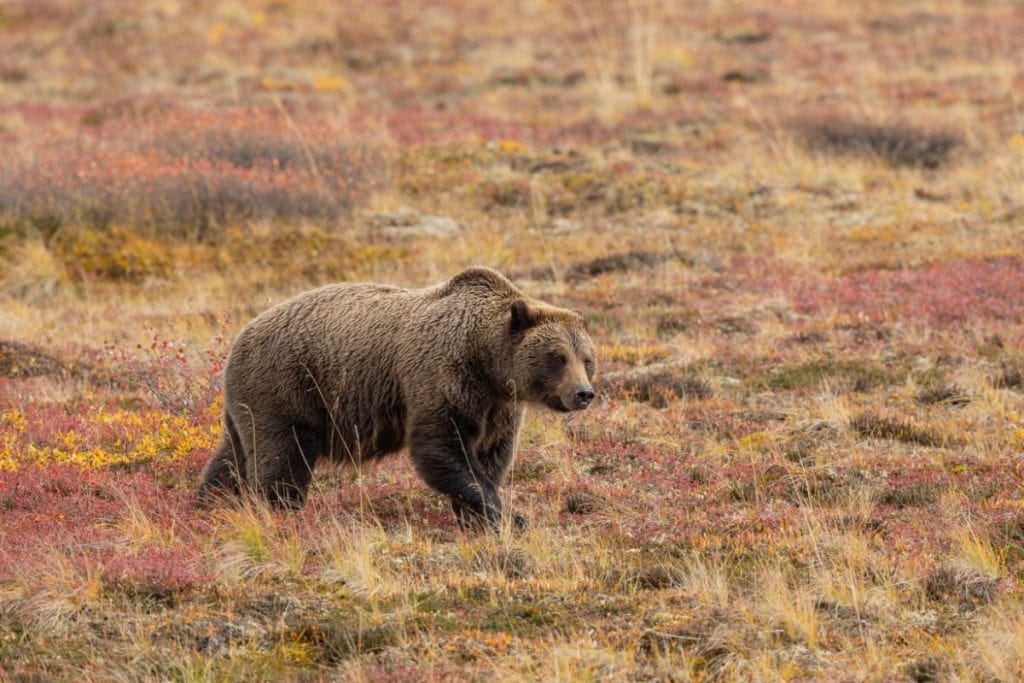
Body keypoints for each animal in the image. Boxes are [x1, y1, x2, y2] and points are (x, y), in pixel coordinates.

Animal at [198, 266, 597, 529]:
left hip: (248, 404)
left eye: (587, 358)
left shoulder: (497, 408)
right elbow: (441, 448)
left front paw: (479, 516)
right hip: (287, 387)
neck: (486, 363)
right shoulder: (440, 378)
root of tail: (240, 337)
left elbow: (491, 454)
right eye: (557, 357)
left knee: (231, 458)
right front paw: (505, 514)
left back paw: (208, 503)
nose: (583, 393)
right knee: (282, 458)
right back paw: (281, 510)